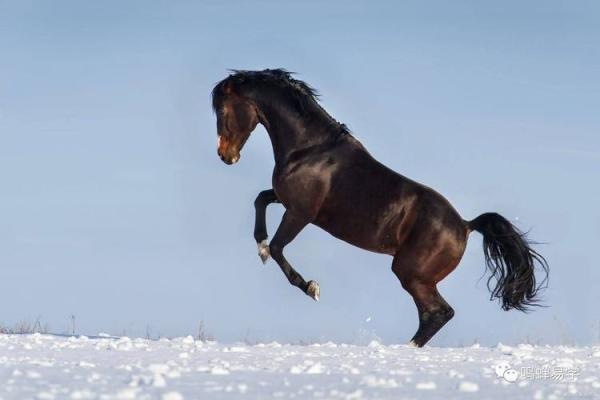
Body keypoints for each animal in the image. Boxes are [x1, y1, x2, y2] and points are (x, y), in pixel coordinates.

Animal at [211, 69, 548, 346]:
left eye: (222, 110)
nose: (225, 156)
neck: (310, 148)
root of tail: (466, 225)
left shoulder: (300, 213)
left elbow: (280, 248)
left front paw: (311, 288)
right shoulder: (287, 200)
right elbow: (260, 201)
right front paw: (261, 248)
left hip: (411, 274)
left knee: (438, 313)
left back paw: (404, 348)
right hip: (415, 275)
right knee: (434, 315)